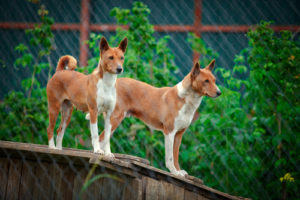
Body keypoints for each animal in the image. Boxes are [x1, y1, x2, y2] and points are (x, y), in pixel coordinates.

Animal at [86, 59, 220, 175]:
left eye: (214, 80)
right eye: (206, 81)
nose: (219, 92)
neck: (184, 99)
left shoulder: (178, 135)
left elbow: (176, 156)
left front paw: (178, 171)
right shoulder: (169, 132)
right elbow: (170, 158)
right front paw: (174, 172)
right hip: (115, 119)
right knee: (101, 138)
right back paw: (103, 154)